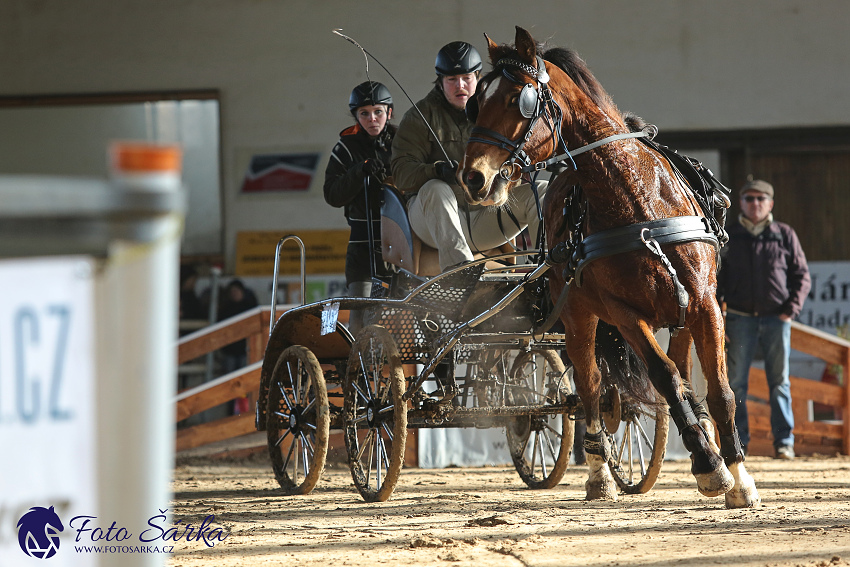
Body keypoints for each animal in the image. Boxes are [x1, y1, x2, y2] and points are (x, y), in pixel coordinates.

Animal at [460, 25, 760, 510]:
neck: (638, 205)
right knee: (590, 386)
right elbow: (663, 378)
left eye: (514, 99)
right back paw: (600, 472)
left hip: (676, 316)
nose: (472, 177)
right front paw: (708, 466)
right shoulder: (623, 313)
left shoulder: (704, 303)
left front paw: (738, 474)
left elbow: (719, 391)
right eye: (475, 102)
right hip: (578, 315)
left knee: (677, 375)